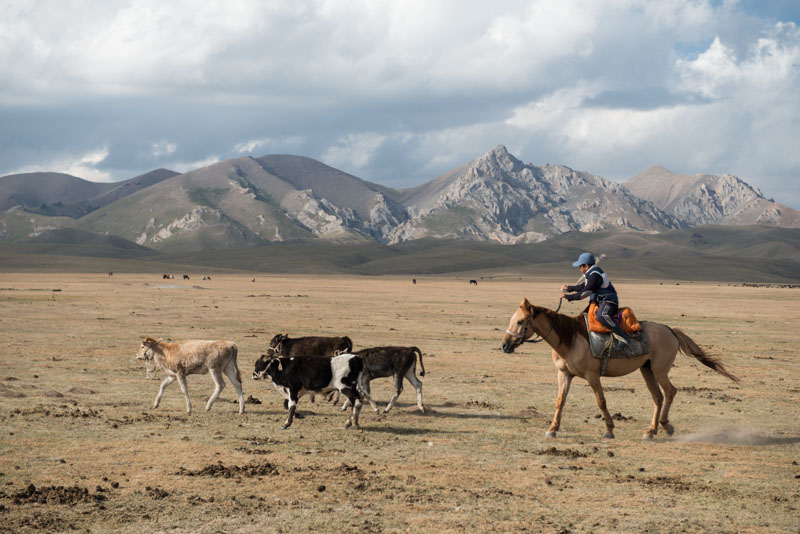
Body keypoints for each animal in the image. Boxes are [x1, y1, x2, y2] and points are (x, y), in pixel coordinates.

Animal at [500, 298, 736, 440]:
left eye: (520, 322)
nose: (504, 345)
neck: (570, 339)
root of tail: (670, 330)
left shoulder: (592, 376)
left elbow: (601, 402)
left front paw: (609, 430)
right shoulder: (564, 374)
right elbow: (560, 401)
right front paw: (552, 429)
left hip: (659, 370)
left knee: (670, 392)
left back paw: (665, 426)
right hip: (647, 370)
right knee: (658, 397)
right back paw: (651, 430)